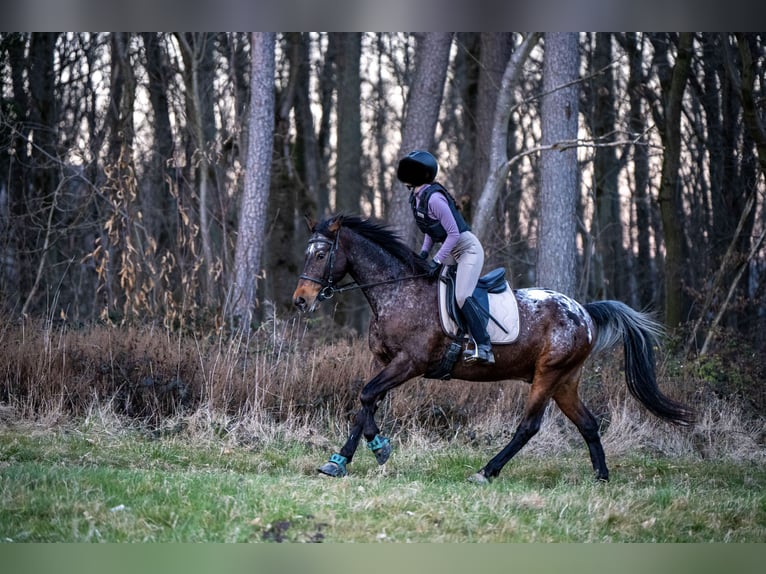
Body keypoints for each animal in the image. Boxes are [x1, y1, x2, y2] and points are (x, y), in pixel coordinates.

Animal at [292, 214, 695, 483]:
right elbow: (366, 404)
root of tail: (584, 311)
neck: (397, 290)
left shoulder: (410, 362)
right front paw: (339, 461)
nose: (300, 300)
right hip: (565, 380)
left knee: (529, 426)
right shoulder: (386, 361)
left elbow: (365, 396)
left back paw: (487, 471)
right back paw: (601, 476)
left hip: (547, 374)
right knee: (588, 424)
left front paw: (380, 448)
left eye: (321, 254)